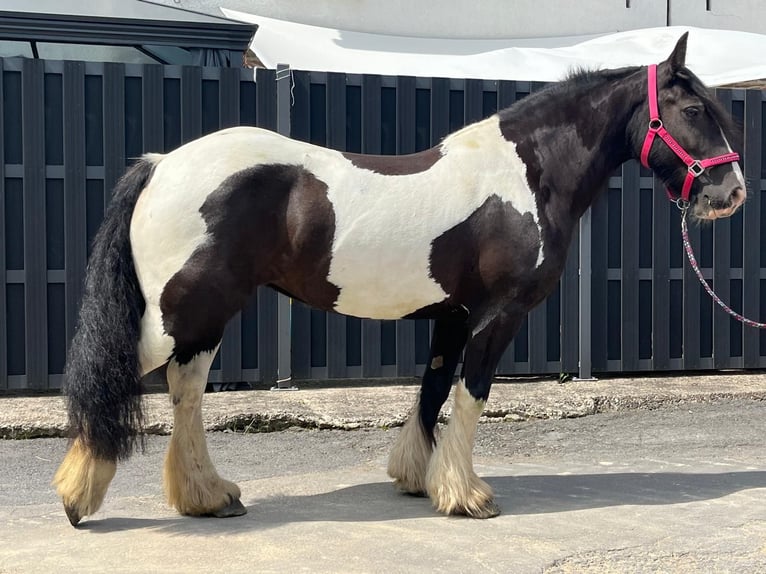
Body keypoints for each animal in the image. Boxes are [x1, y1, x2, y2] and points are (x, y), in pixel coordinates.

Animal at [55, 31, 752, 528]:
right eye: (695, 109)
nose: (732, 192)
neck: (524, 175)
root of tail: (162, 162)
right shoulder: (498, 315)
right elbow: (471, 393)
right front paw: (468, 497)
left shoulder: (453, 314)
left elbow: (432, 390)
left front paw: (420, 480)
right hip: (181, 312)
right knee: (120, 380)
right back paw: (78, 497)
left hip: (203, 314)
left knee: (188, 391)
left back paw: (207, 495)